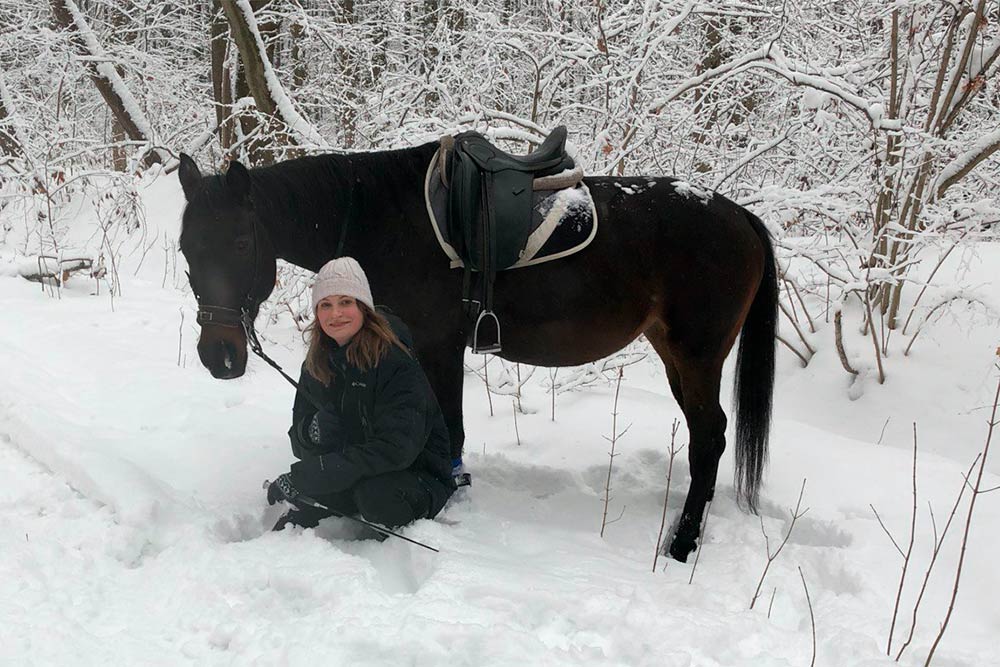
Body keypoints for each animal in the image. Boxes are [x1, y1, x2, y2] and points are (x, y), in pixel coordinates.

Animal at [176, 142, 776, 564]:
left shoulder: (434, 344)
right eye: (187, 248)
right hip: (677, 357)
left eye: (241, 243)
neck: (377, 218)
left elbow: (451, 430)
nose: (218, 355)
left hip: (696, 357)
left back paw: (683, 542)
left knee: (710, 438)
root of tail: (741, 217)